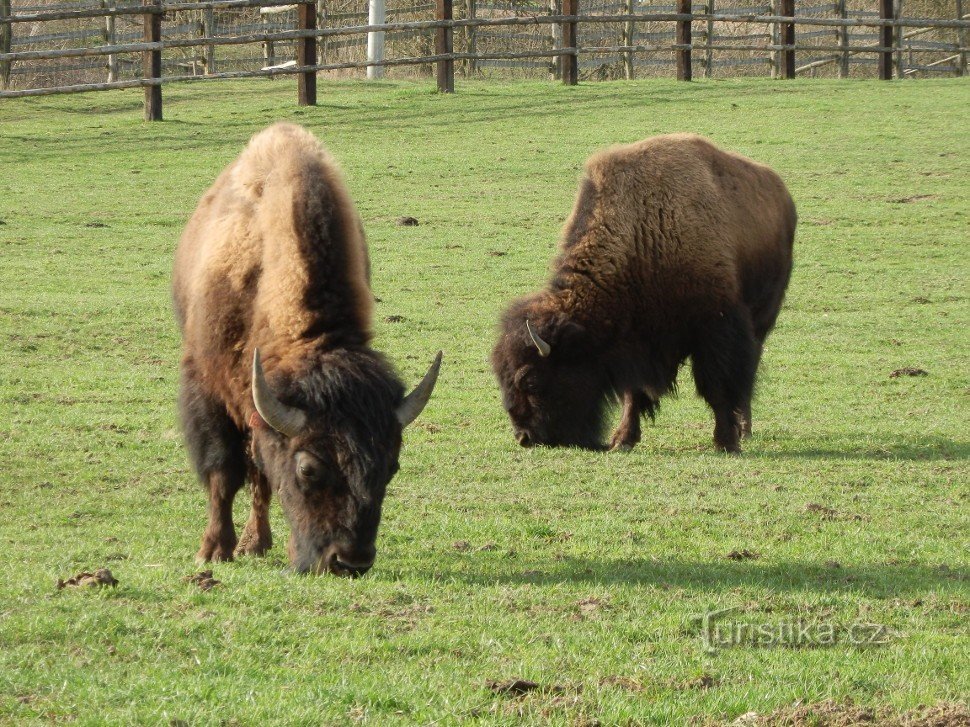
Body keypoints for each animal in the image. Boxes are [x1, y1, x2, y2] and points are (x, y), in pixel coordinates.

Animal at [175, 126, 442, 580]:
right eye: (308, 468)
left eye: (392, 467)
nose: (349, 562)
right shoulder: (207, 389)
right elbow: (222, 474)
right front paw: (212, 552)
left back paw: (257, 542)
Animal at [492, 135, 796, 456]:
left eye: (531, 382)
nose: (525, 437)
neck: (643, 234)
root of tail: (781, 193)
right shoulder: (636, 342)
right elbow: (633, 393)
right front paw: (623, 440)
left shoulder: (715, 328)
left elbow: (718, 386)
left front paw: (726, 442)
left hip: (762, 318)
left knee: (750, 368)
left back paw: (744, 429)